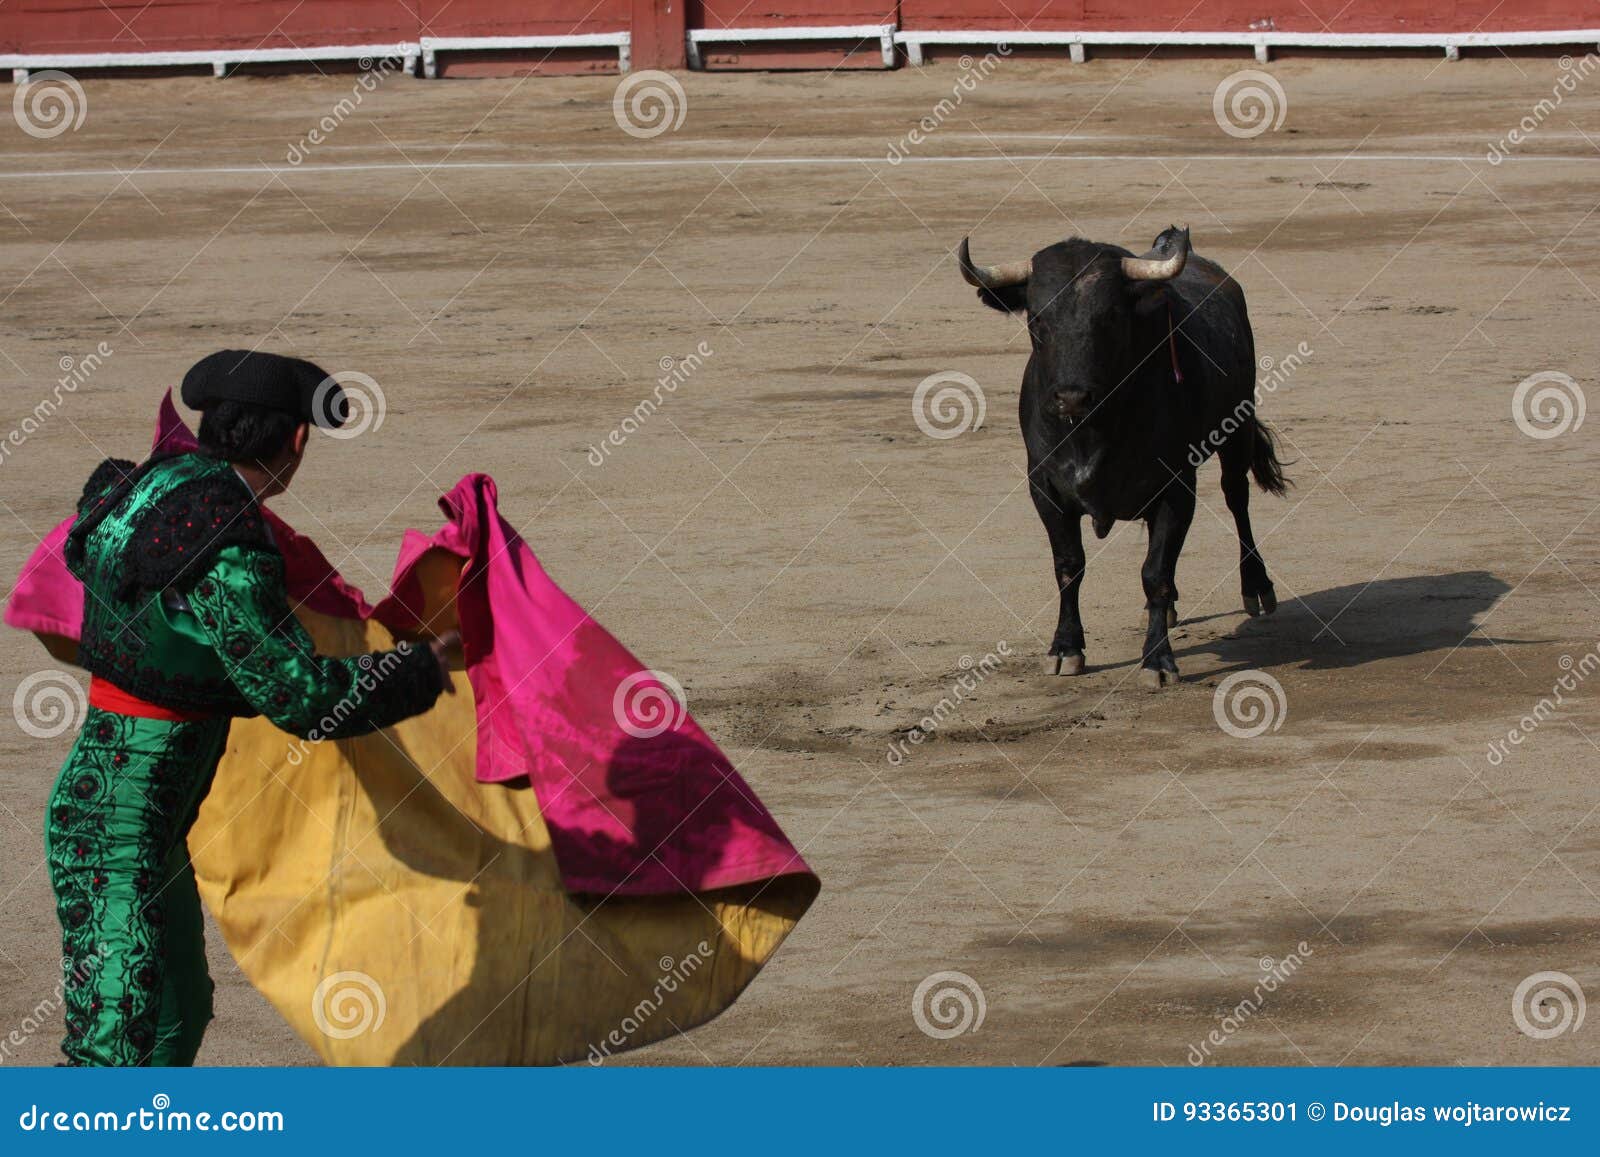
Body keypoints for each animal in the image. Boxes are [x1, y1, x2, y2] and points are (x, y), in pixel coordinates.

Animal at [953, 230, 1292, 691]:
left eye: (1109, 317)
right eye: (1037, 318)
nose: (1071, 397)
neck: (1093, 430)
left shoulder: (1177, 488)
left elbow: (1155, 573)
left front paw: (1158, 659)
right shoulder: (1045, 488)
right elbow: (1069, 566)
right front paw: (1066, 649)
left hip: (1237, 429)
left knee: (1237, 499)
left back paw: (1256, 587)